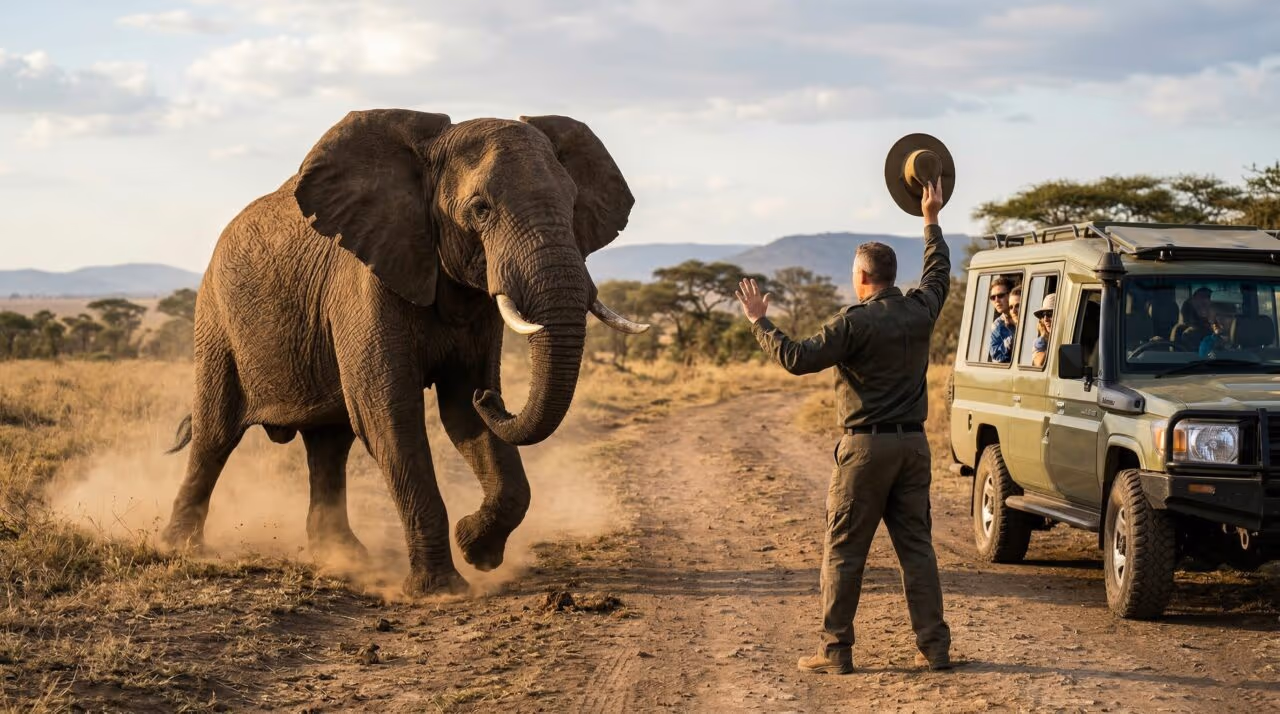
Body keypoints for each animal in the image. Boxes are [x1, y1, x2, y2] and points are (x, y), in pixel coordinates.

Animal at [161, 109, 647, 595]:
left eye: (573, 204)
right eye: (481, 209)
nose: (493, 397)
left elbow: (461, 414)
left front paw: (476, 550)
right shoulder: (363, 284)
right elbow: (388, 414)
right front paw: (440, 591)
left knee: (329, 443)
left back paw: (341, 557)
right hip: (215, 321)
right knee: (215, 434)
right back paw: (179, 549)